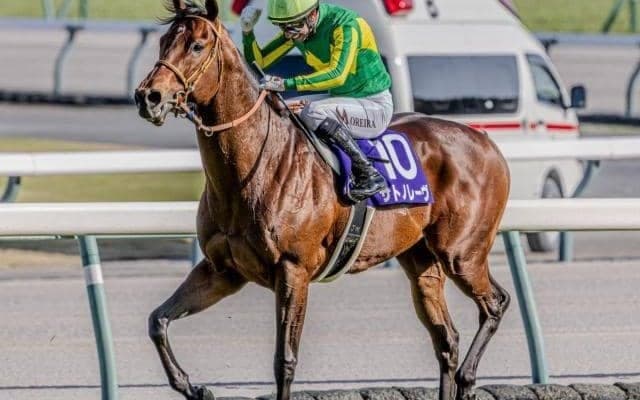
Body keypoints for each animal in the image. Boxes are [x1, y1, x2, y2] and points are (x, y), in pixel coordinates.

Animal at [134, 1, 511, 400]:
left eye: (197, 45)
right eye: (163, 42)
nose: (148, 97)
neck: (256, 164)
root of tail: (485, 141)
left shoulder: (293, 269)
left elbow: (284, 361)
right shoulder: (223, 270)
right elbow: (158, 321)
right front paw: (194, 388)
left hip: (462, 254)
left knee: (495, 305)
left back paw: (469, 378)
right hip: (421, 260)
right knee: (447, 340)